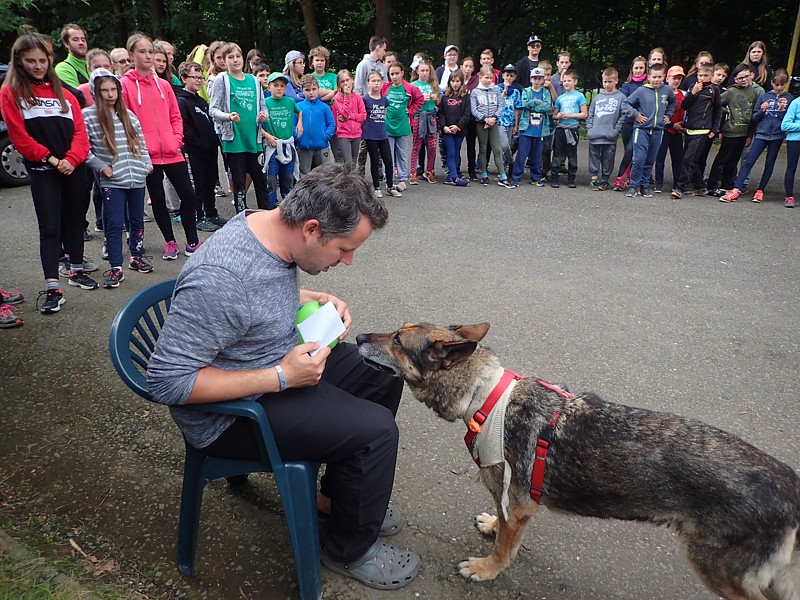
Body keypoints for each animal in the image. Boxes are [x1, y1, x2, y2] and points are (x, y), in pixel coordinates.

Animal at [360, 324, 800, 600]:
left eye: (397, 339)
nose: (360, 335)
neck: (486, 398)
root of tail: (791, 486)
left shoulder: (519, 504)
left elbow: (505, 546)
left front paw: (488, 569)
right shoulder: (510, 499)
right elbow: (500, 521)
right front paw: (491, 527)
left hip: (714, 567)